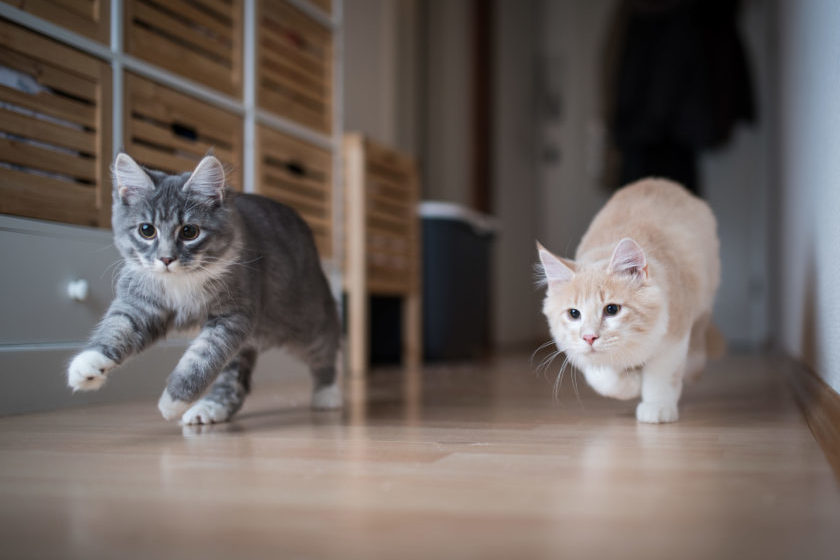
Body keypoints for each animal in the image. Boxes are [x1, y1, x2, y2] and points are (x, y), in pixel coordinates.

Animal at [66, 153, 342, 424]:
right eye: (147, 230)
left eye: (189, 231)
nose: (166, 259)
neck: (181, 282)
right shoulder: (140, 303)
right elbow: (118, 327)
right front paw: (88, 364)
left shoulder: (233, 317)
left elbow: (201, 358)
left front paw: (174, 400)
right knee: (233, 382)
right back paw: (210, 408)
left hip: (305, 321)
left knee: (327, 347)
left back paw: (328, 393)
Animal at [540, 177, 720, 422]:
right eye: (574, 313)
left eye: (612, 309)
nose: (589, 337)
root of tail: (659, 181)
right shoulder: (578, 352)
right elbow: (604, 378)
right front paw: (632, 383)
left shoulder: (674, 333)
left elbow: (661, 376)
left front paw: (657, 406)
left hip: (704, 294)